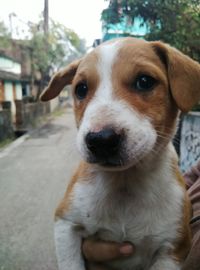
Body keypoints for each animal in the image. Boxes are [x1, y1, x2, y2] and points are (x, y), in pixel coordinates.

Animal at [40, 38, 200, 270]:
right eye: (81, 89)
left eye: (144, 81)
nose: (101, 140)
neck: (124, 182)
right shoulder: (65, 222)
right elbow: (71, 263)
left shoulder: (173, 248)